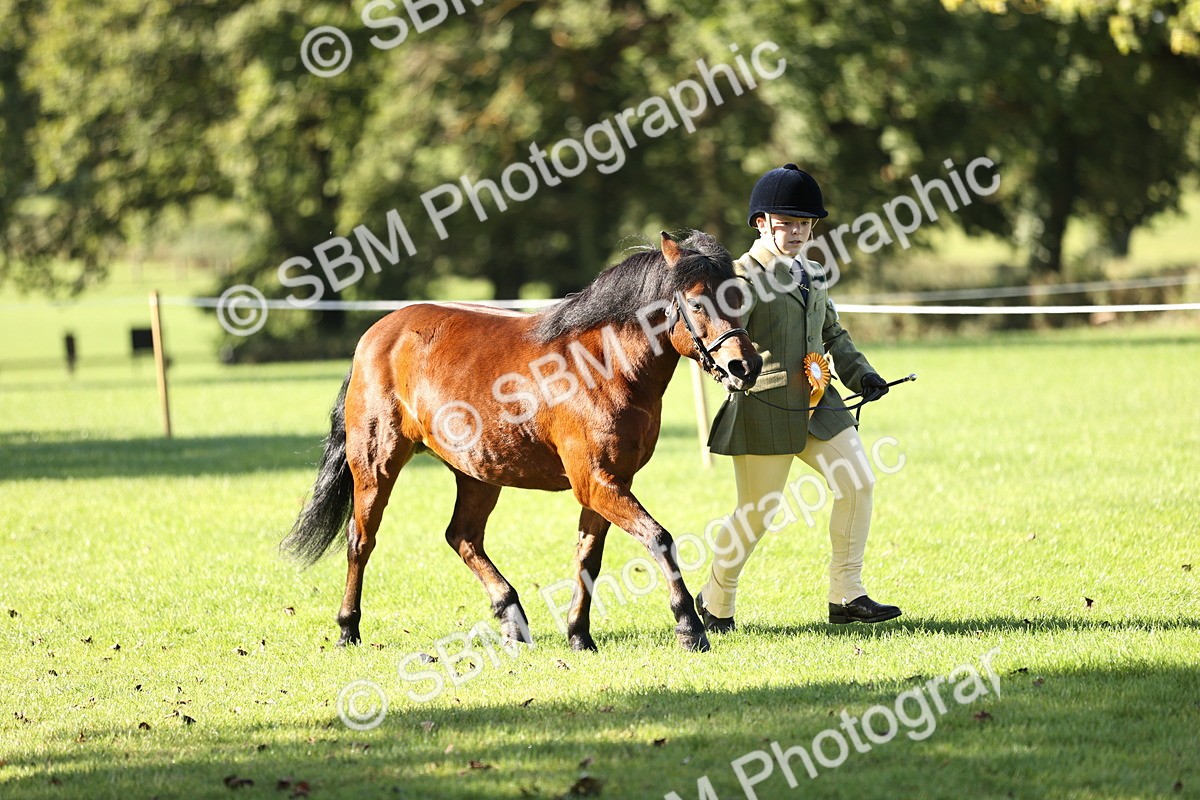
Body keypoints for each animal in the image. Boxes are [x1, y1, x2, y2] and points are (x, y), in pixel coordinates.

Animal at [281, 231, 762, 652]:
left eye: (740, 298)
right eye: (697, 302)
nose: (745, 366)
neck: (604, 366)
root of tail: (376, 334)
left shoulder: (607, 484)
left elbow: (588, 558)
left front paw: (579, 635)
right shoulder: (596, 482)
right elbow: (658, 538)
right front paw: (689, 628)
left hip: (477, 472)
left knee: (462, 537)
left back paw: (511, 618)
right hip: (376, 465)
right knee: (361, 541)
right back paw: (348, 629)